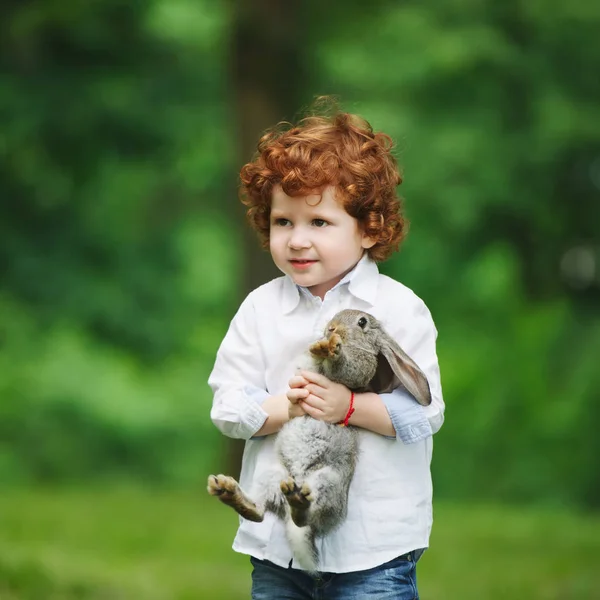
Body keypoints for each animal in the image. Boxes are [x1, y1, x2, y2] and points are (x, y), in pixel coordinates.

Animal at [207, 310, 432, 572]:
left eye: (362, 321)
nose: (331, 329)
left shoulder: (358, 367)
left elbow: (344, 366)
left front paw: (330, 348)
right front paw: (319, 346)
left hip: (326, 482)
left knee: (304, 515)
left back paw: (296, 502)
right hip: (271, 478)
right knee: (259, 512)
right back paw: (227, 490)